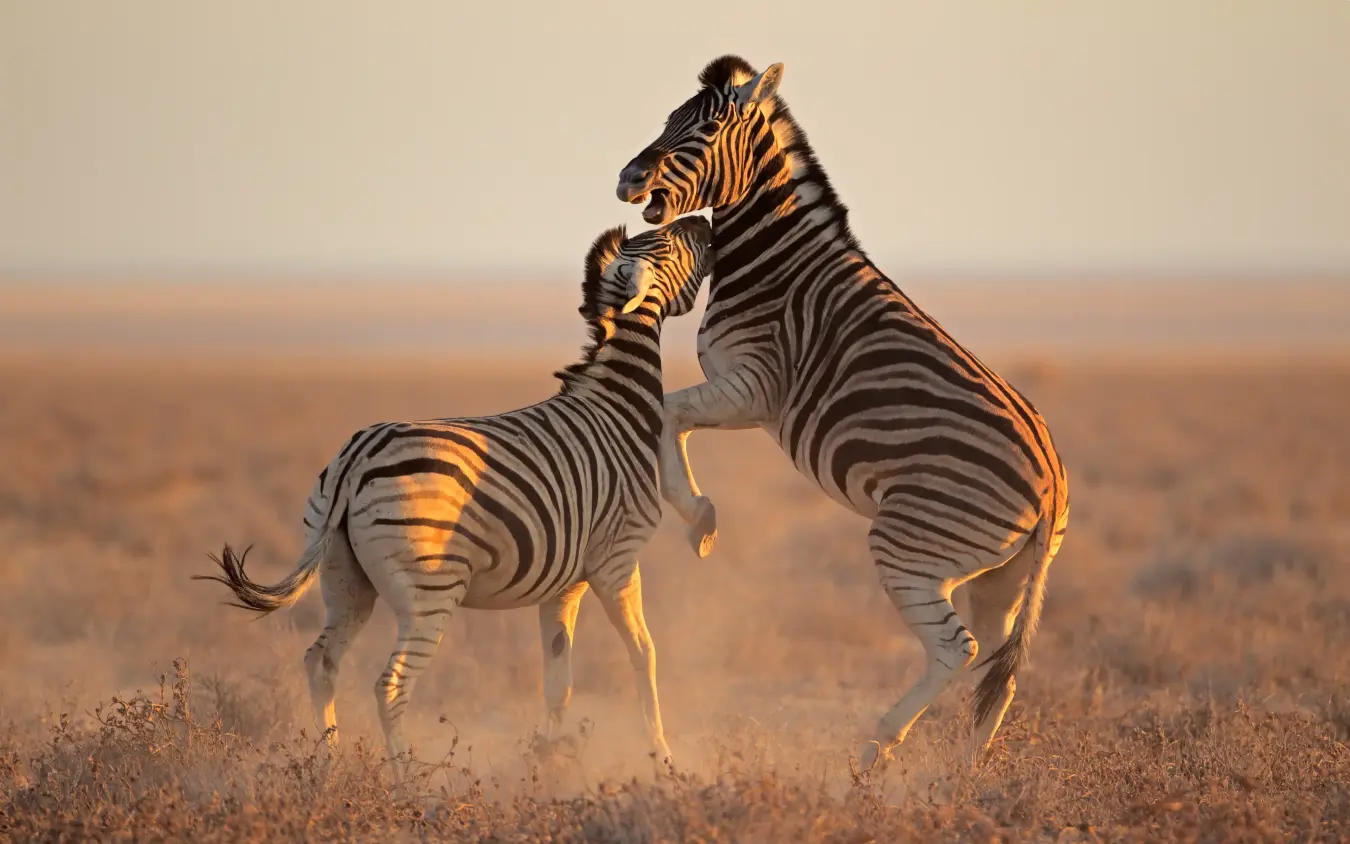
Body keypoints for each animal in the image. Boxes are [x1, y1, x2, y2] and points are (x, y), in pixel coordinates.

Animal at [196, 216, 712, 781]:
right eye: (668, 244)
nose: (703, 222)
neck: (617, 405)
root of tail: (356, 457)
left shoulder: (565, 582)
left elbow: (558, 680)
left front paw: (547, 764)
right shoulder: (617, 560)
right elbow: (644, 654)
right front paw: (663, 759)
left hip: (344, 580)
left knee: (321, 662)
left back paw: (329, 766)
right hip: (430, 592)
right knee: (390, 685)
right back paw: (407, 783)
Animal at [614, 56, 1070, 771]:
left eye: (705, 128)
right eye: (669, 119)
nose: (628, 179)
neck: (775, 262)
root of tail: (1051, 479)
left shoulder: (756, 387)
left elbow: (667, 411)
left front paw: (699, 518)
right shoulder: (746, 394)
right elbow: (672, 416)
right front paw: (699, 516)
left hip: (910, 543)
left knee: (956, 650)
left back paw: (875, 748)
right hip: (1002, 575)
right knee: (997, 669)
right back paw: (960, 776)